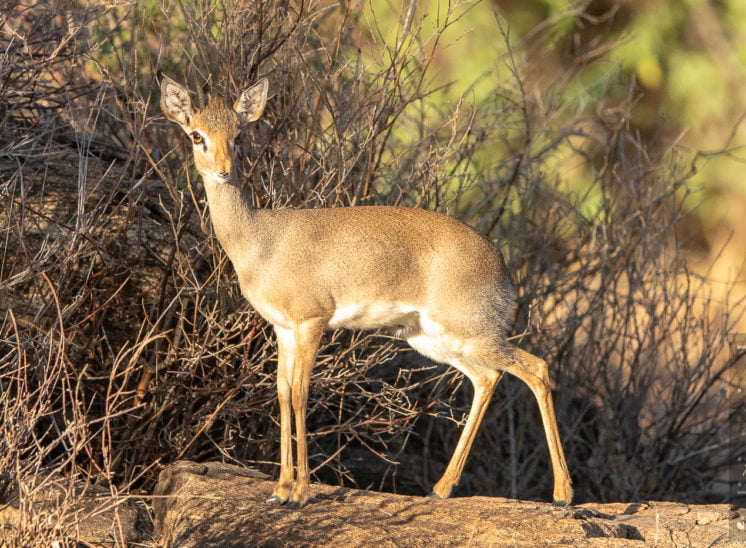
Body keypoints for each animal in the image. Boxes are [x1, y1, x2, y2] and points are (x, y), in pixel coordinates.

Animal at [161, 75, 568, 508]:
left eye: (238, 135)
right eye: (196, 134)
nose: (223, 171)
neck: (261, 240)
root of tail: (500, 261)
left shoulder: (312, 322)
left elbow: (303, 392)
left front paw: (300, 491)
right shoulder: (282, 328)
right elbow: (284, 393)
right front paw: (280, 488)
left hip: (473, 333)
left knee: (536, 369)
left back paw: (563, 493)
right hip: (434, 340)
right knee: (487, 378)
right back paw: (441, 488)